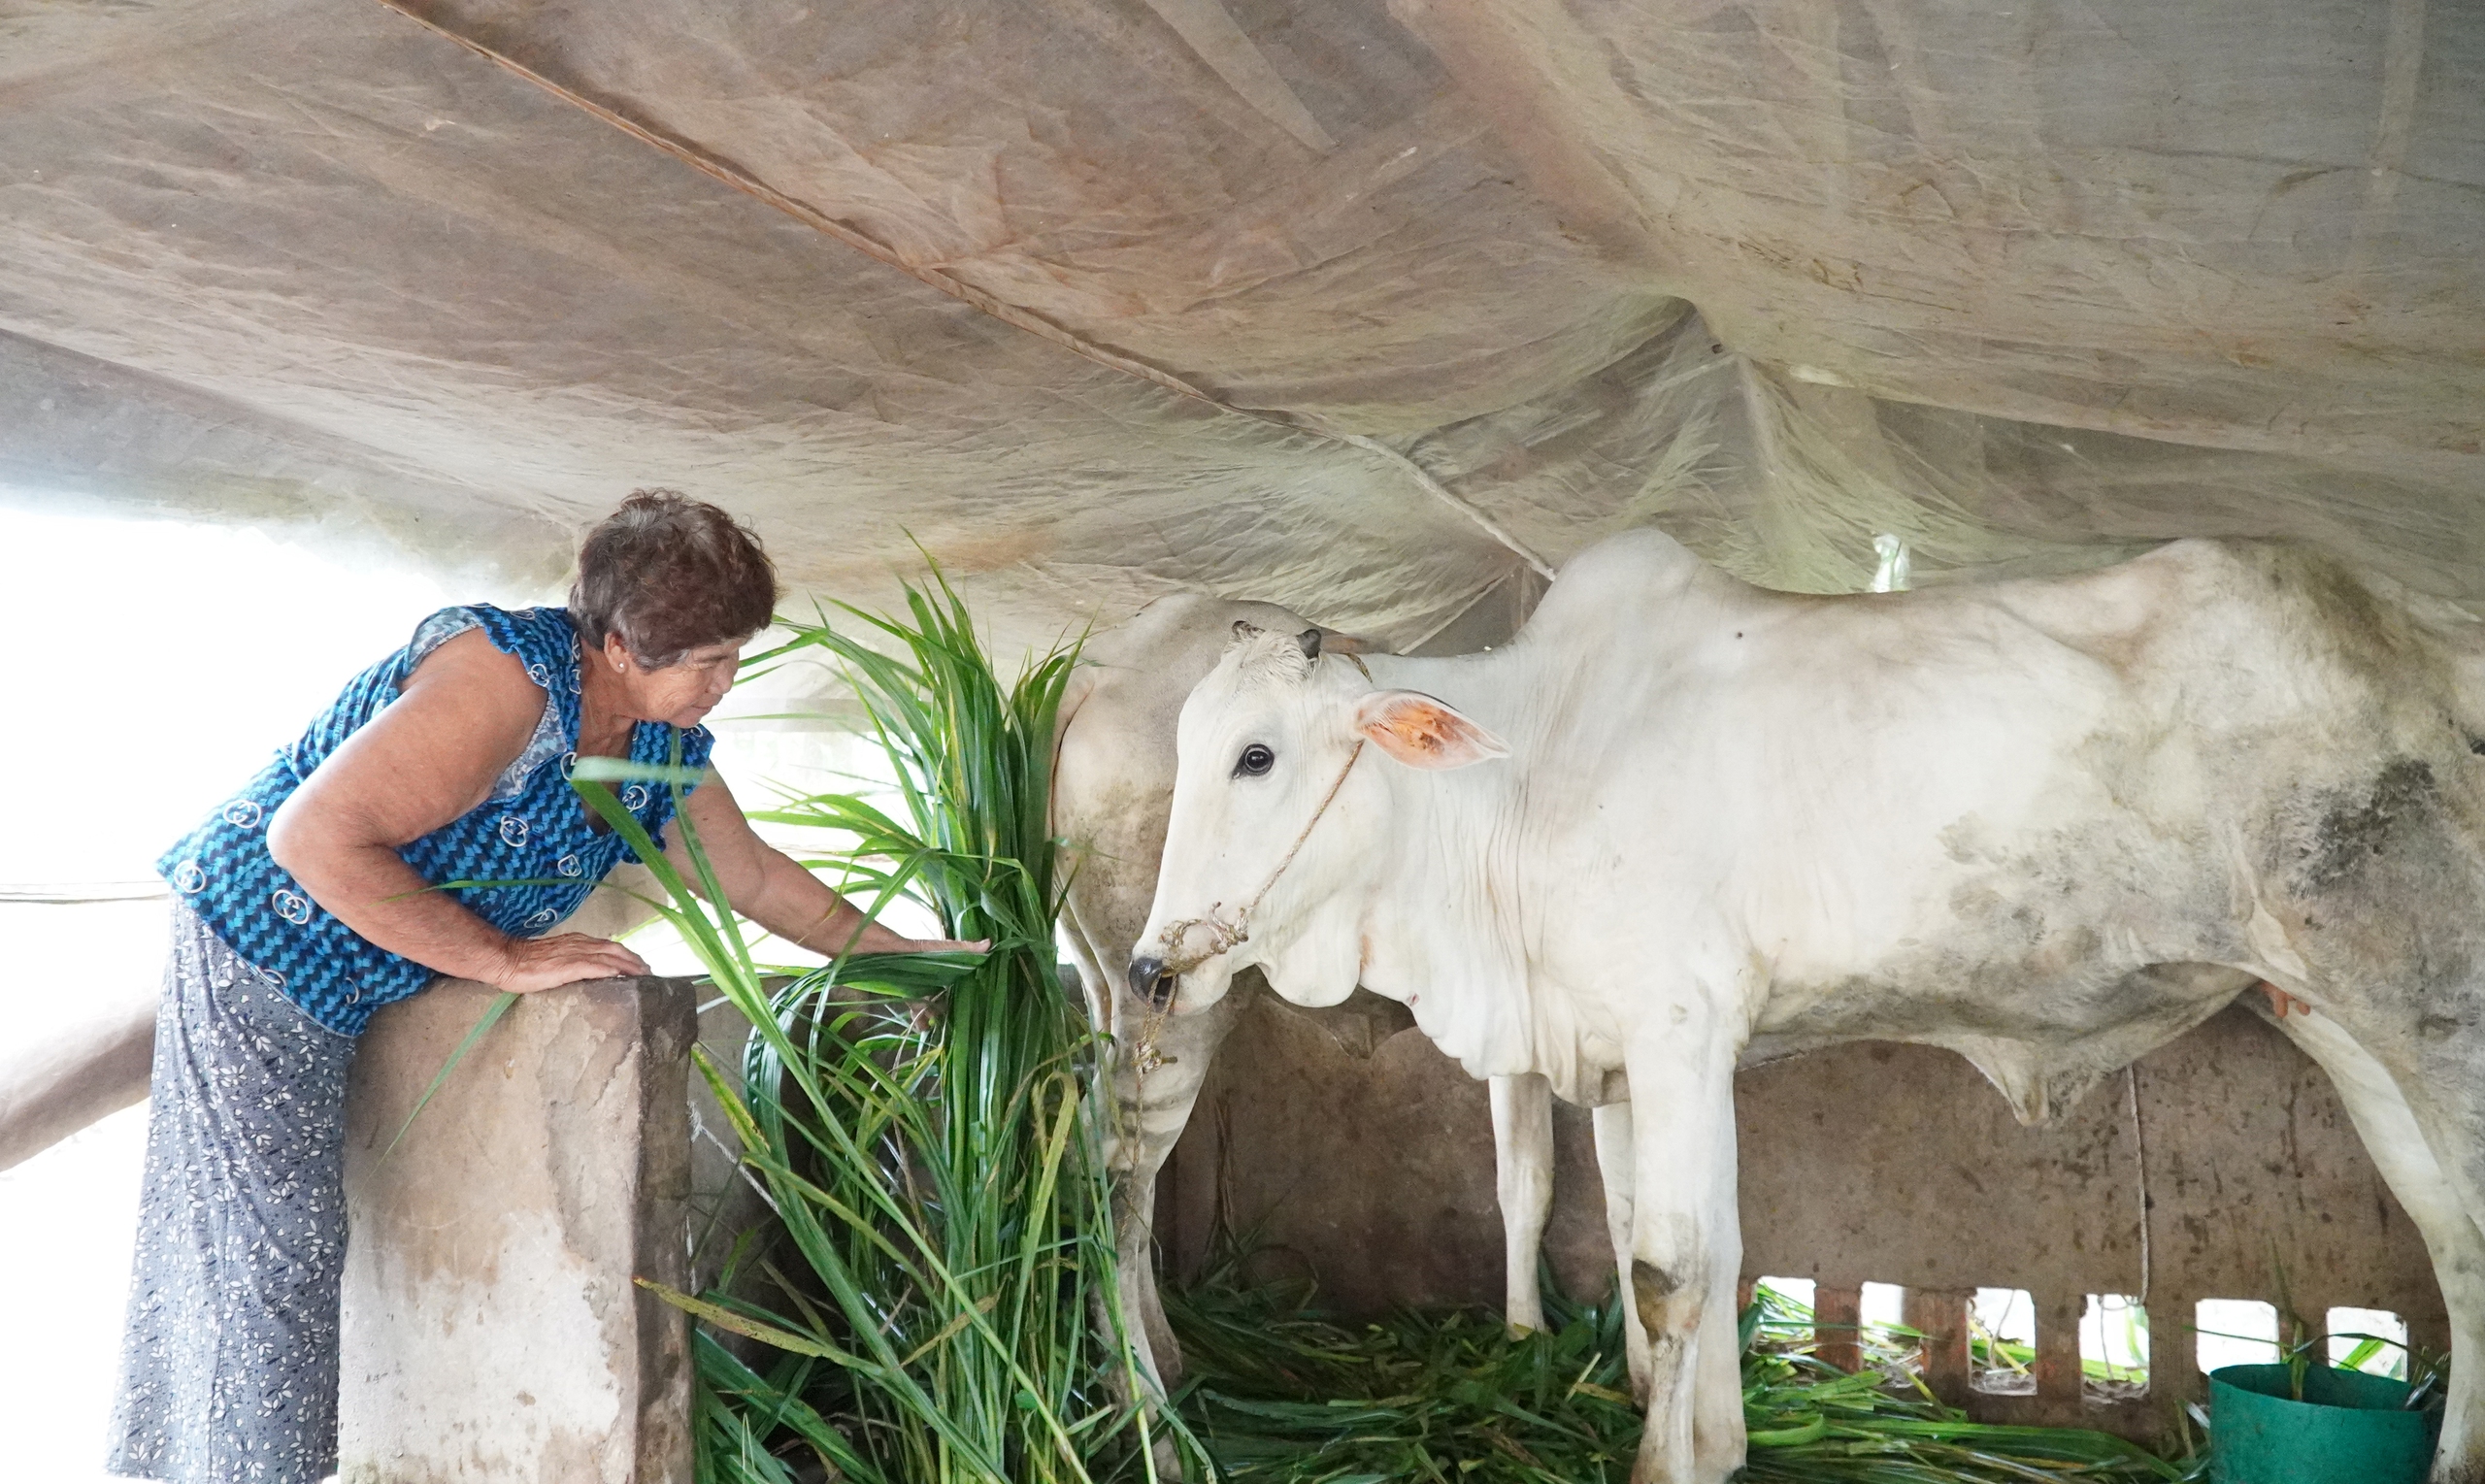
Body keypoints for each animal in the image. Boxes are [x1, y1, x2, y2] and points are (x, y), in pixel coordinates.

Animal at [1138, 532, 2485, 1481]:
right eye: (1186, 746)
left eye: (1256, 755)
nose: (1152, 967)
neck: (1529, 768)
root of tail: (2426, 637)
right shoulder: (1623, 1045)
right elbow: (1674, 1237)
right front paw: (1707, 1432)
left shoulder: (1677, 1024)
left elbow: (1671, 1261)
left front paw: (1662, 1463)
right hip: (2334, 1019)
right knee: (2454, 1237)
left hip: (2427, 999)